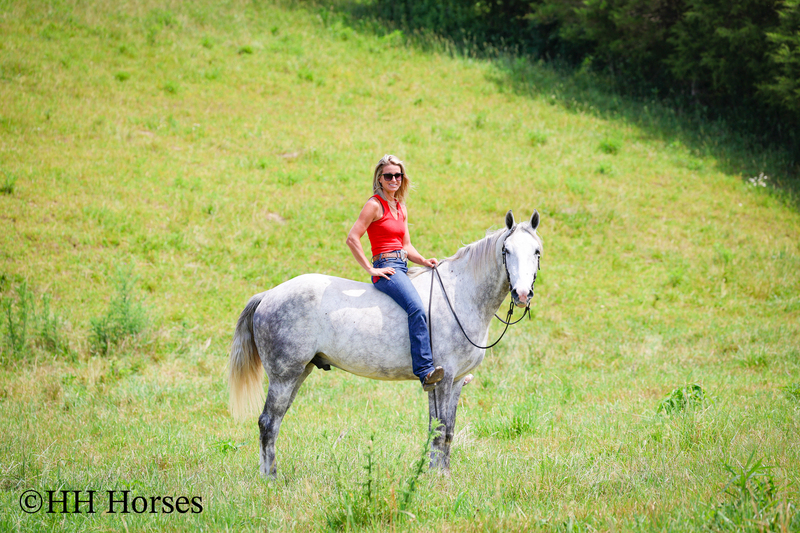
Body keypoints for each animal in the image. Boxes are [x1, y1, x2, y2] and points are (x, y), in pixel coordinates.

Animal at [228, 209, 542, 477]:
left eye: (537, 251)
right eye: (506, 251)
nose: (522, 294)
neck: (460, 294)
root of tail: (268, 295)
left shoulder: (453, 381)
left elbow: (446, 430)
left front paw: (440, 475)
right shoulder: (443, 378)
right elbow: (440, 429)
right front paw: (437, 478)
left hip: (298, 373)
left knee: (275, 421)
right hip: (284, 376)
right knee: (268, 423)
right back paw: (269, 479)